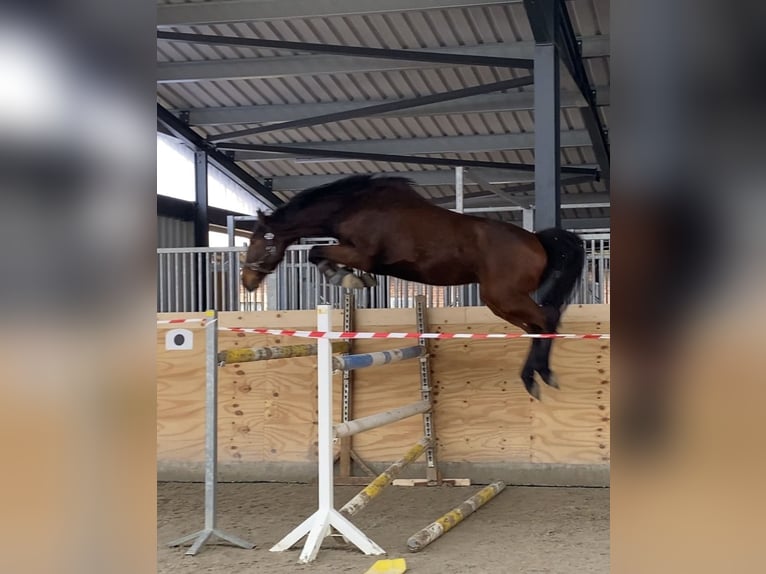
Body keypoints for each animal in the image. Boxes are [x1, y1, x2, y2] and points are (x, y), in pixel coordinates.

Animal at [242, 174, 585, 400]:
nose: (247, 282)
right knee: (536, 327)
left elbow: (316, 252)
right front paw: (357, 279)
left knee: (547, 319)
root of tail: (537, 240)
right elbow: (320, 253)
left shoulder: (361, 253)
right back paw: (534, 376)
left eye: (256, 241)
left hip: (504, 296)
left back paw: (541, 376)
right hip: (501, 302)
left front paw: (346, 277)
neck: (355, 207)